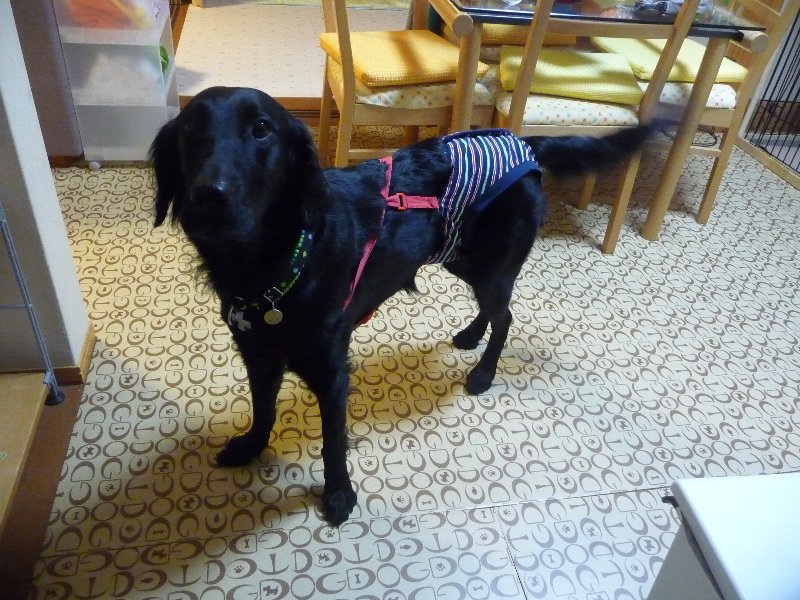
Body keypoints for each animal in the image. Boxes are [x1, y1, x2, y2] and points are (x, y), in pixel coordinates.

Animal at [150, 86, 651, 524]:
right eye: (191, 128)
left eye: (261, 129)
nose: (207, 196)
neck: (276, 260)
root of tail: (522, 142)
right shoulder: (258, 353)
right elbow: (263, 408)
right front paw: (251, 447)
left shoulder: (331, 371)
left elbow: (334, 442)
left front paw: (338, 495)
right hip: (462, 260)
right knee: (493, 310)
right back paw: (469, 336)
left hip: (490, 265)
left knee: (506, 315)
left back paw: (484, 373)